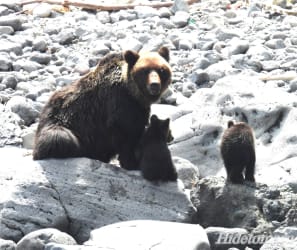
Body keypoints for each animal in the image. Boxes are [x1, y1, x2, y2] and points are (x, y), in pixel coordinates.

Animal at [32, 47, 171, 171]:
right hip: (59, 123)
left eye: (161, 70)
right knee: (59, 138)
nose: (154, 85)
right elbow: (125, 133)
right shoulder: (119, 103)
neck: (133, 93)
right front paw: (132, 163)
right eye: (144, 71)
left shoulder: (139, 108)